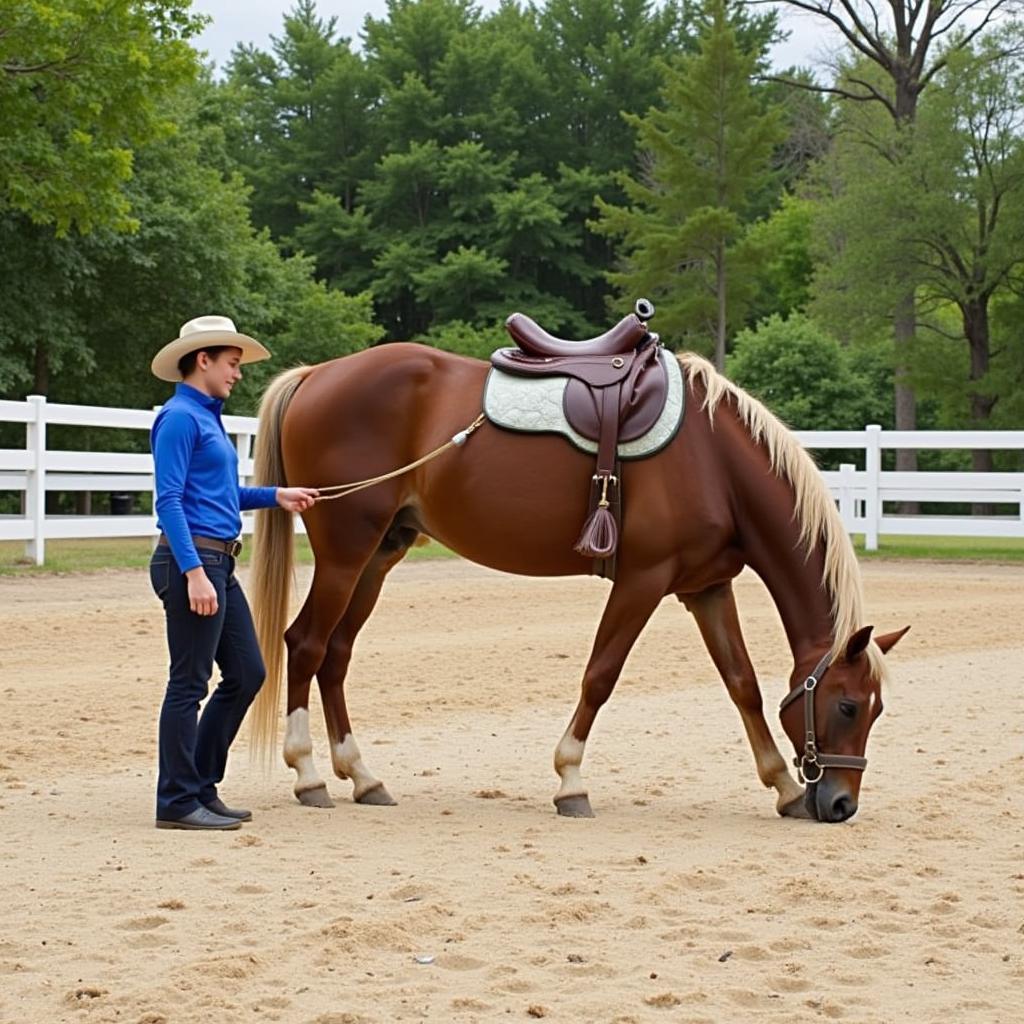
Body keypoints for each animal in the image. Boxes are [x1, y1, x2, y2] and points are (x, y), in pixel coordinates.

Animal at [251, 344, 909, 823]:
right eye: (848, 705)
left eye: (877, 710)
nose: (842, 804)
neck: (716, 463)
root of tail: (317, 374)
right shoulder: (643, 580)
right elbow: (600, 675)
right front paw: (570, 781)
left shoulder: (705, 588)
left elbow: (741, 684)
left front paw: (783, 788)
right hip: (345, 553)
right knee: (306, 644)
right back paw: (309, 774)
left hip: (379, 555)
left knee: (336, 654)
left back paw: (363, 777)